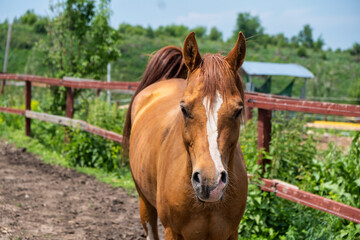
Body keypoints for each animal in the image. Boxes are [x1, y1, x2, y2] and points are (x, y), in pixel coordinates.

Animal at [123, 32, 248, 240]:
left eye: (238, 111)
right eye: (184, 109)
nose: (210, 183)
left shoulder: (231, 233)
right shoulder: (172, 232)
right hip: (144, 202)